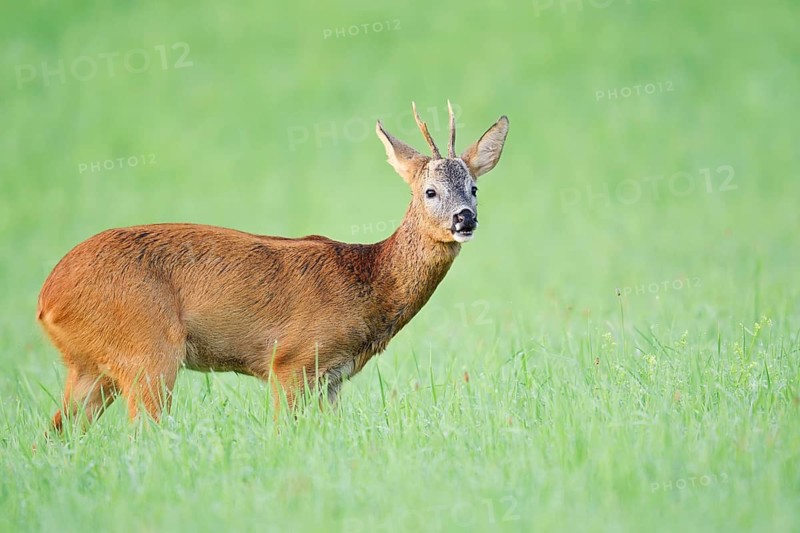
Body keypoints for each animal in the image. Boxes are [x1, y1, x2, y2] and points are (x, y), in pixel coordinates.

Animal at [37, 102, 509, 431]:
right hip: (148, 350)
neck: (369, 280)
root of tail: (47, 298)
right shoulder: (290, 362)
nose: (464, 218)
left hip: (91, 366)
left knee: (56, 434)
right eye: (430, 191)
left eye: (474, 187)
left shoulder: (331, 378)